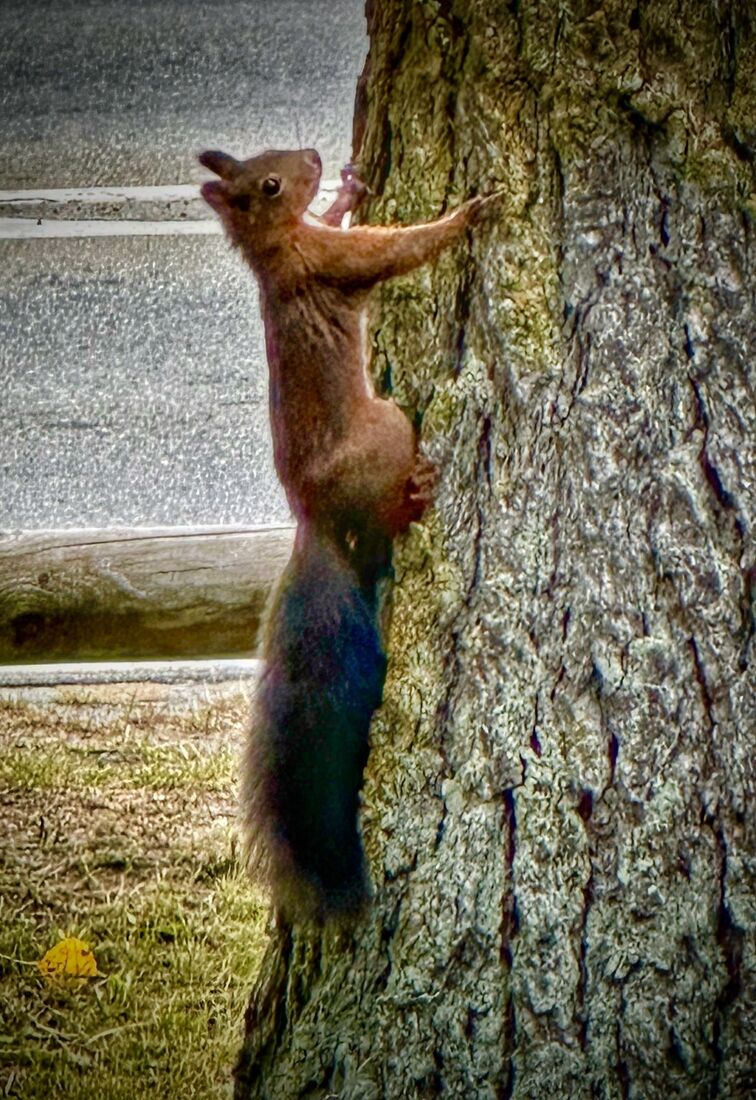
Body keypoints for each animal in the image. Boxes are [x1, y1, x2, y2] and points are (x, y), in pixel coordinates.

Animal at [199, 146, 494, 923]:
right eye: (270, 183)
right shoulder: (334, 264)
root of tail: (315, 521)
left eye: (274, 161)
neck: (277, 252)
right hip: (389, 426)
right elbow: (397, 249)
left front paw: (347, 193)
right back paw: (416, 495)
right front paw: (466, 215)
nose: (313, 157)